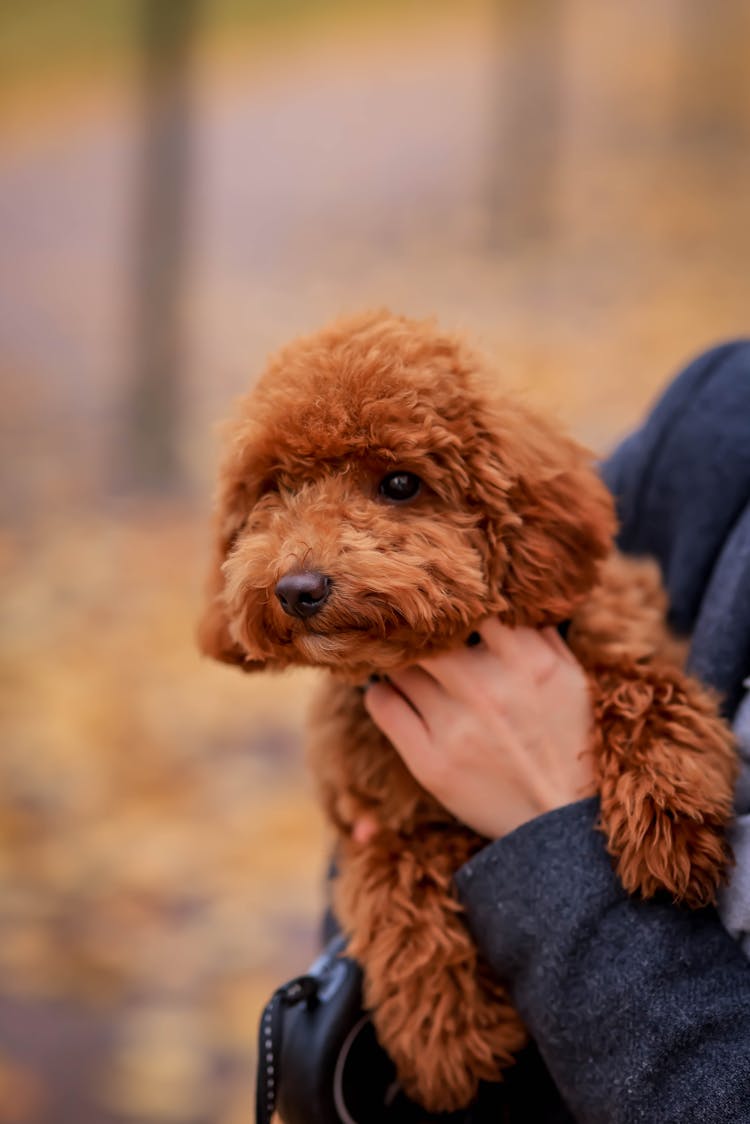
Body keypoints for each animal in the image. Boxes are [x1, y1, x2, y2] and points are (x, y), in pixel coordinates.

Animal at [199, 312, 737, 1110]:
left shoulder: (620, 629)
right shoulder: (371, 813)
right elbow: (391, 880)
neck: (435, 651)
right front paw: (447, 1037)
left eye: (399, 483)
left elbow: (640, 686)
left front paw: (668, 818)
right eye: (277, 488)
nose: (298, 588)